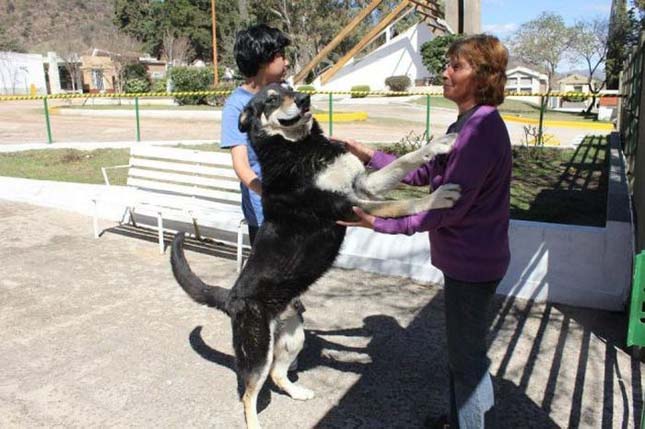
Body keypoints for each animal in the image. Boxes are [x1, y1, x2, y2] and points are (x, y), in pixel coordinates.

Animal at [171, 81, 460, 428]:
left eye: (290, 86)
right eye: (271, 98)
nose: (303, 98)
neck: (299, 148)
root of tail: (231, 297)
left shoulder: (363, 185)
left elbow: (405, 161)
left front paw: (442, 143)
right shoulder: (349, 206)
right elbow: (403, 204)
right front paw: (439, 197)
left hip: (293, 336)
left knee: (278, 374)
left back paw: (298, 392)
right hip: (257, 351)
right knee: (248, 394)